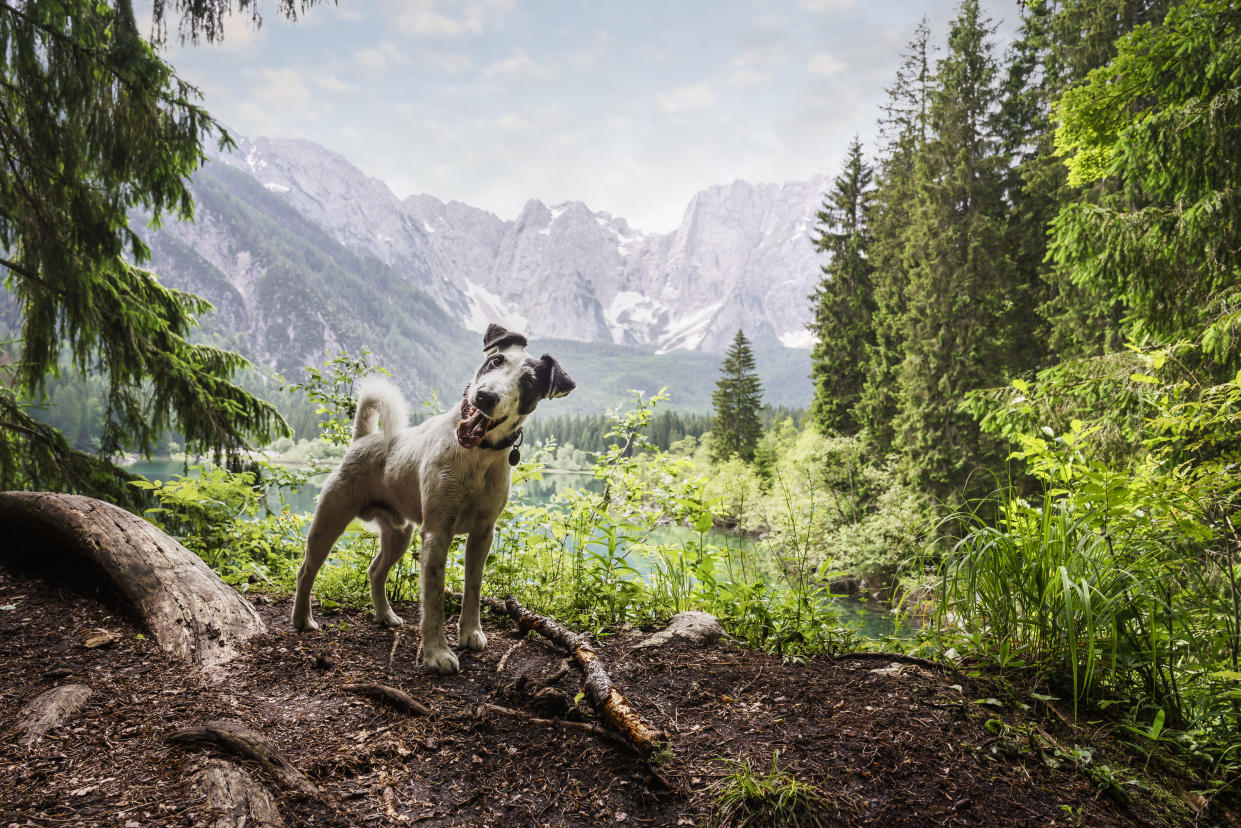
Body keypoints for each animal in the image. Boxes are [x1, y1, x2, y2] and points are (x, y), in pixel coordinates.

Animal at [291, 322, 575, 675]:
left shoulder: (483, 534)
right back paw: (303, 620)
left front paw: (470, 633)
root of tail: (363, 439)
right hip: (329, 520)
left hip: (400, 533)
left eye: (528, 382)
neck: (478, 456)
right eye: (495, 361)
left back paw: (385, 616)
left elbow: (473, 587)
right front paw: (437, 653)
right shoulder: (437, 532)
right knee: (306, 570)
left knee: (375, 571)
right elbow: (434, 598)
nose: (485, 396)